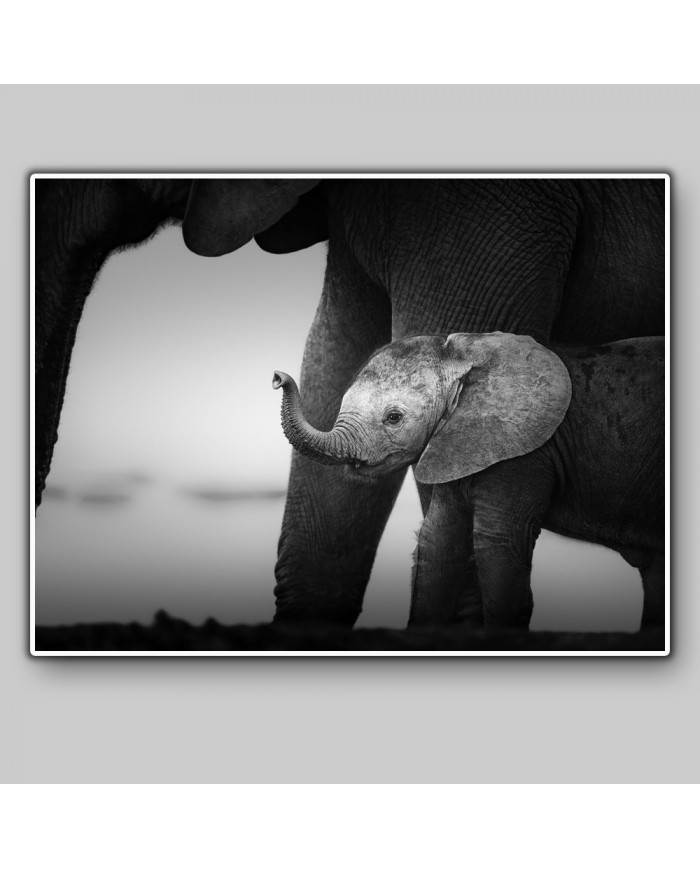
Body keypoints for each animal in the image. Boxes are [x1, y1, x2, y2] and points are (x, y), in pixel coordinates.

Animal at [272, 332, 665, 630]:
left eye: (394, 418)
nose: (277, 377)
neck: (466, 357)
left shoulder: (524, 454)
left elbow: (496, 542)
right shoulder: (457, 442)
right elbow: (438, 539)